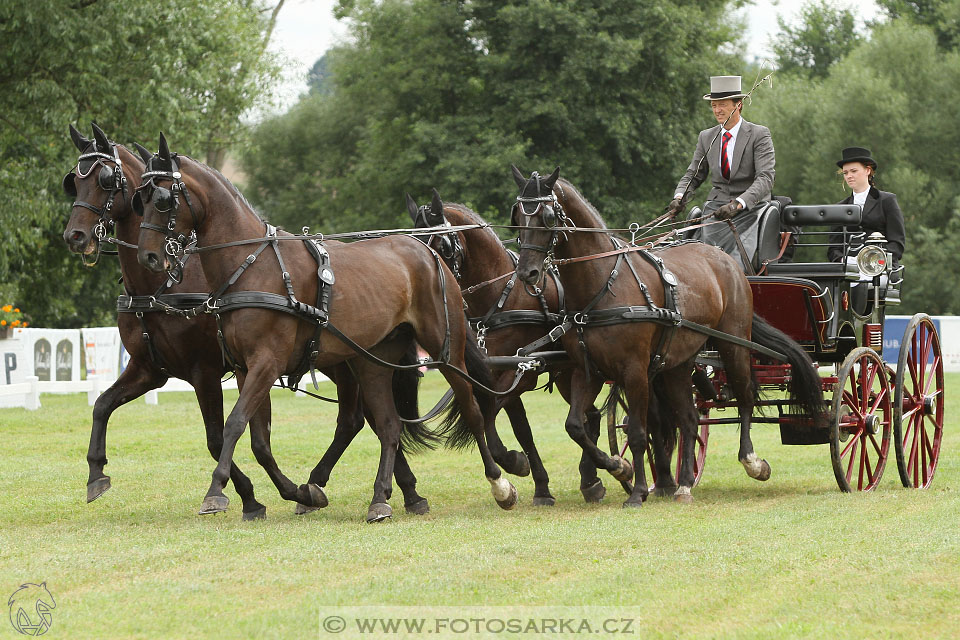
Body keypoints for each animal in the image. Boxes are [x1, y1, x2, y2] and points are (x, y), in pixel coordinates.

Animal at [62, 125, 428, 520]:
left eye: (105, 180)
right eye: (74, 182)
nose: (75, 236)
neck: (162, 286)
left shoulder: (207, 371)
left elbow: (218, 437)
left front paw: (242, 496)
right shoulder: (150, 369)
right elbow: (102, 405)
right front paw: (96, 472)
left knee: (368, 419)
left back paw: (389, 491)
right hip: (337, 358)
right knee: (360, 419)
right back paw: (384, 490)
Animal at [133, 134, 516, 520]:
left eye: (163, 199)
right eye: (141, 198)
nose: (148, 257)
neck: (251, 265)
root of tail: (425, 253)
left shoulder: (266, 363)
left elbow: (235, 423)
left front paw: (216, 490)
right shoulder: (245, 368)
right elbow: (259, 440)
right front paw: (301, 493)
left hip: (445, 350)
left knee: (471, 409)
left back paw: (499, 484)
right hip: (373, 361)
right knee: (388, 425)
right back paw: (380, 498)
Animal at [406, 191, 608, 504]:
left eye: (443, 245)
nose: (424, 280)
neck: (502, 297)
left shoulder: (521, 374)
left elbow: (489, 416)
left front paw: (514, 462)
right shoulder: (500, 374)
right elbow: (521, 430)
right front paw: (540, 485)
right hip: (566, 373)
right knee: (591, 416)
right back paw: (591, 479)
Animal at [510, 168, 824, 508]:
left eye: (547, 216)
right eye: (517, 215)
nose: (527, 273)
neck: (603, 283)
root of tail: (727, 261)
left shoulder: (634, 371)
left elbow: (637, 432)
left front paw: (636, 492)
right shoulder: (586, 369)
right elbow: (575, 426)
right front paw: (618, 468)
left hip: (733, 344)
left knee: (745, 396)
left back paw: (752, 462)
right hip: (679, 363)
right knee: (689, 418)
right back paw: (684, 484)